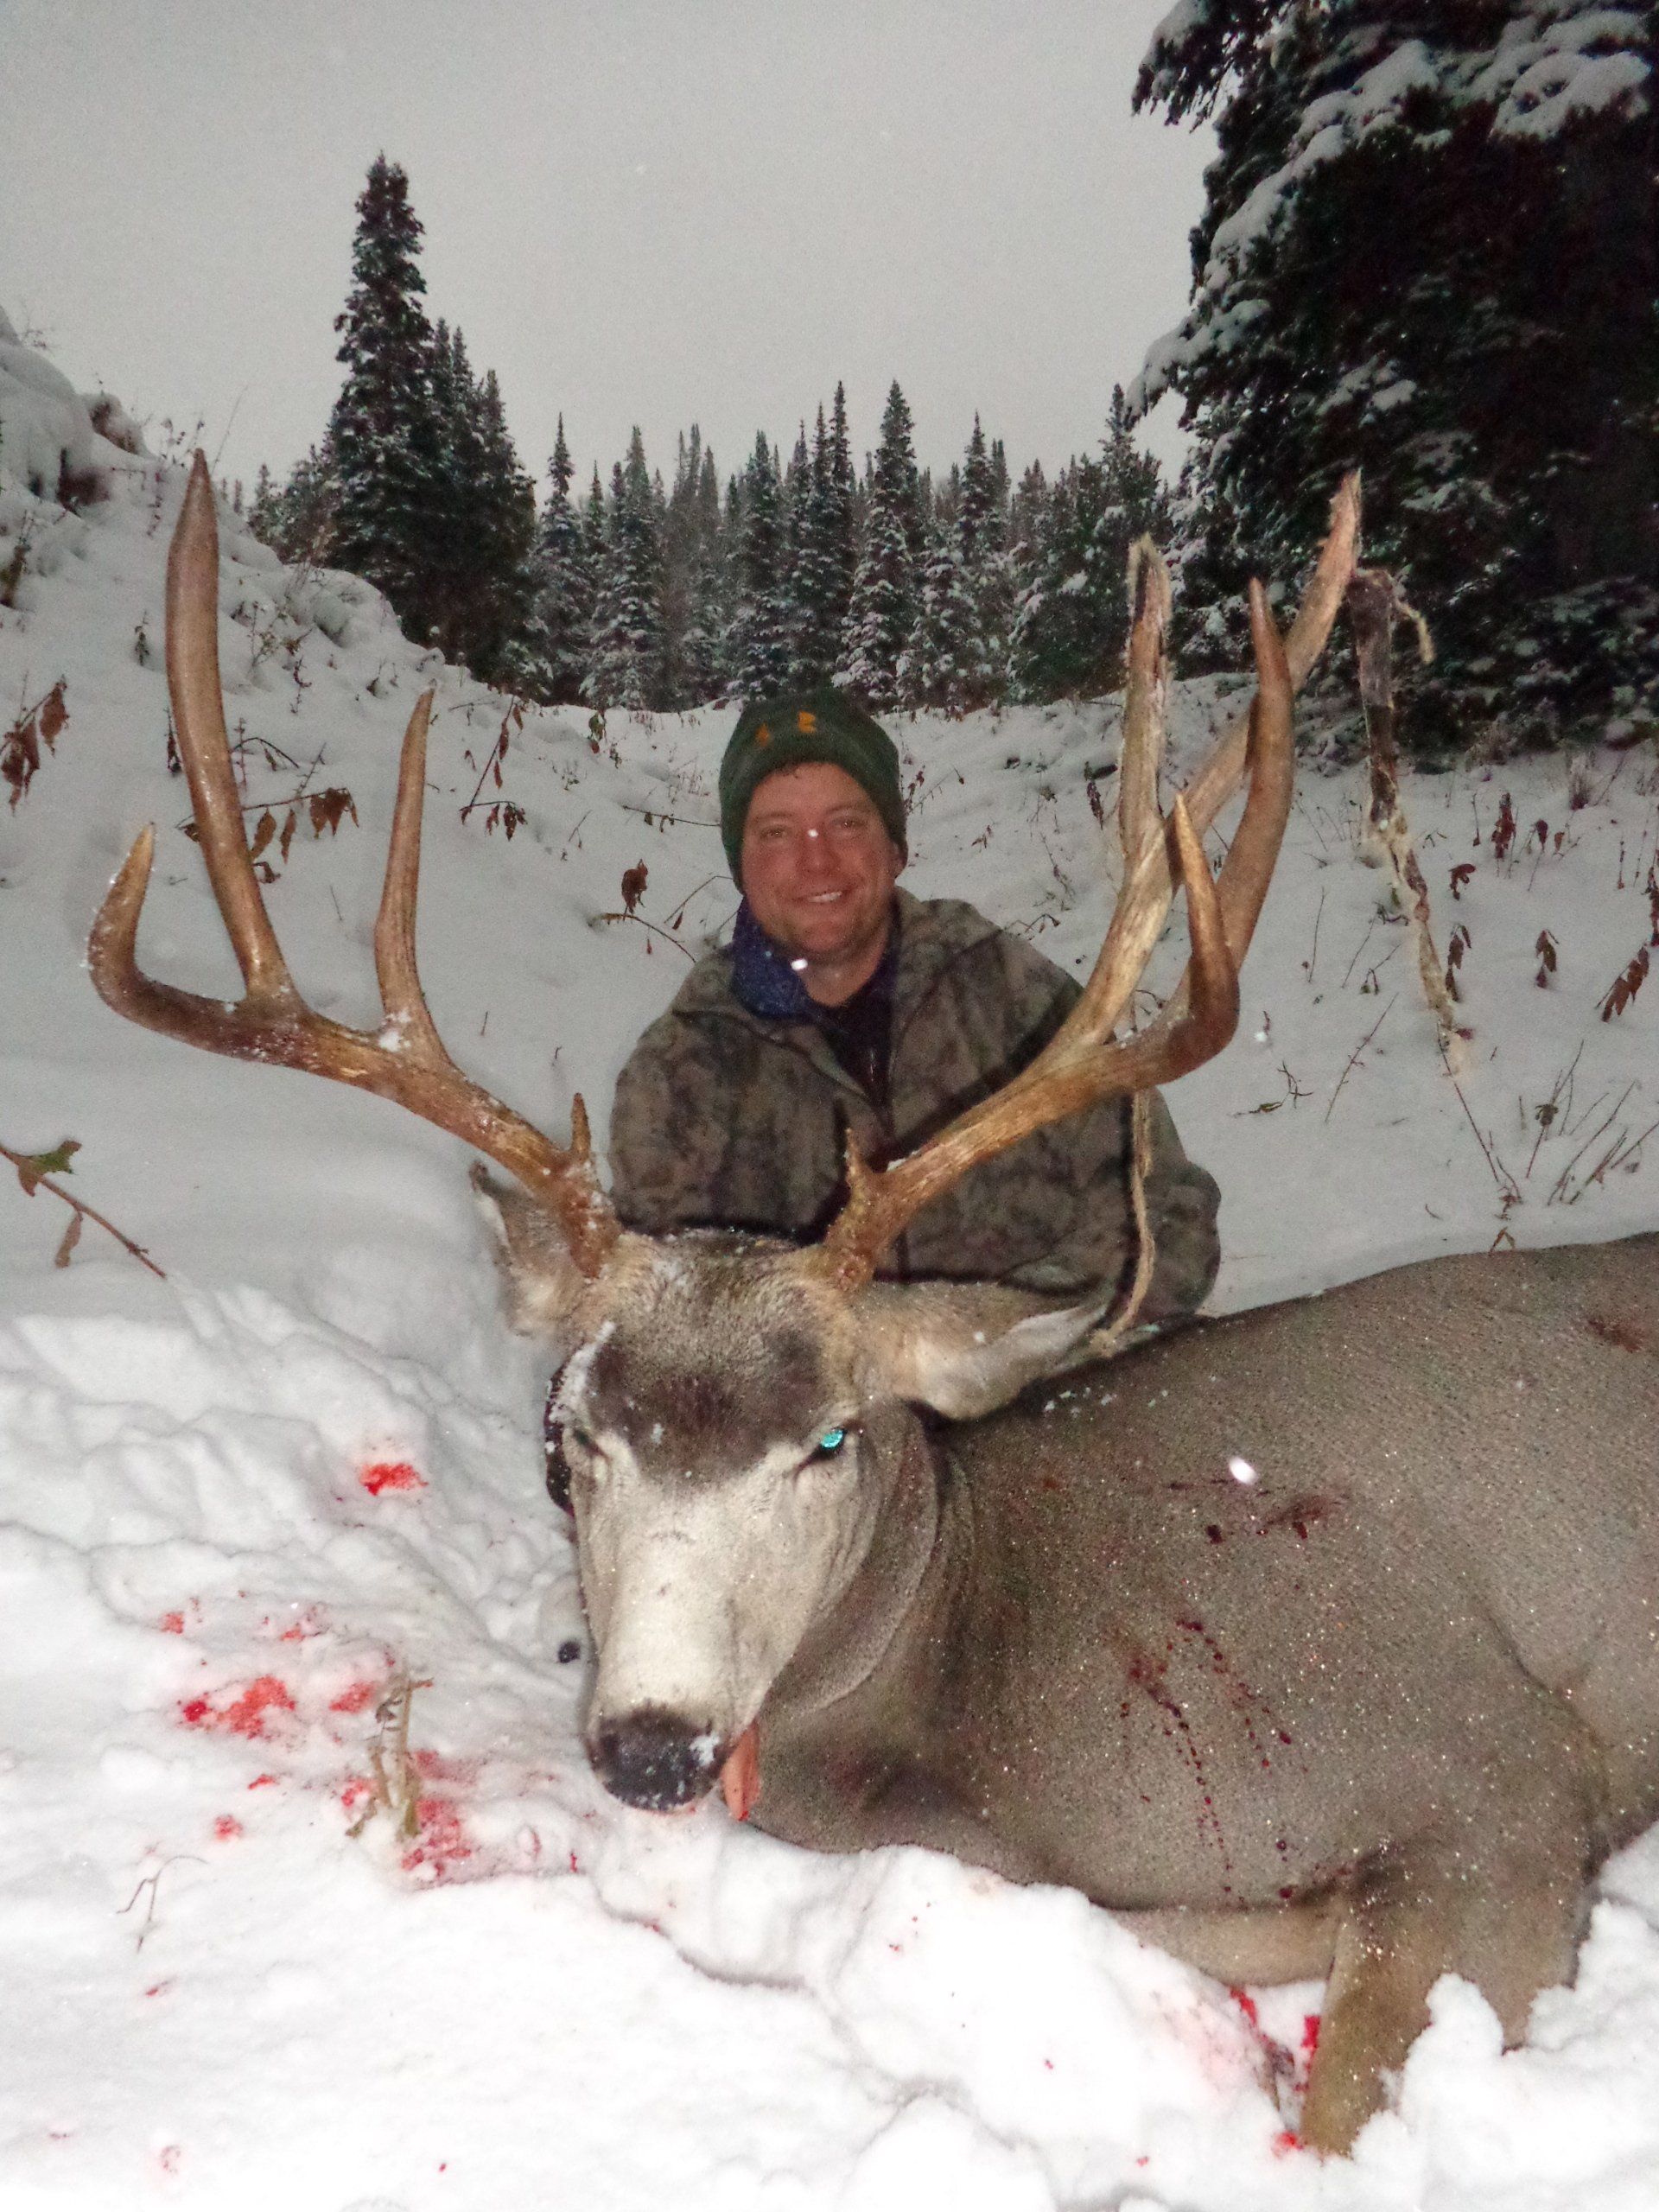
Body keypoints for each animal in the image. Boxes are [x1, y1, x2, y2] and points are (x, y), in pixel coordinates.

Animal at [92, 454, 1659, 2156]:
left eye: (830, 1440)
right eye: (571, 1447)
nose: (652, 1747)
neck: (966, 1693)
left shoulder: (1482, 1775)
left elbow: (1347, 2108)